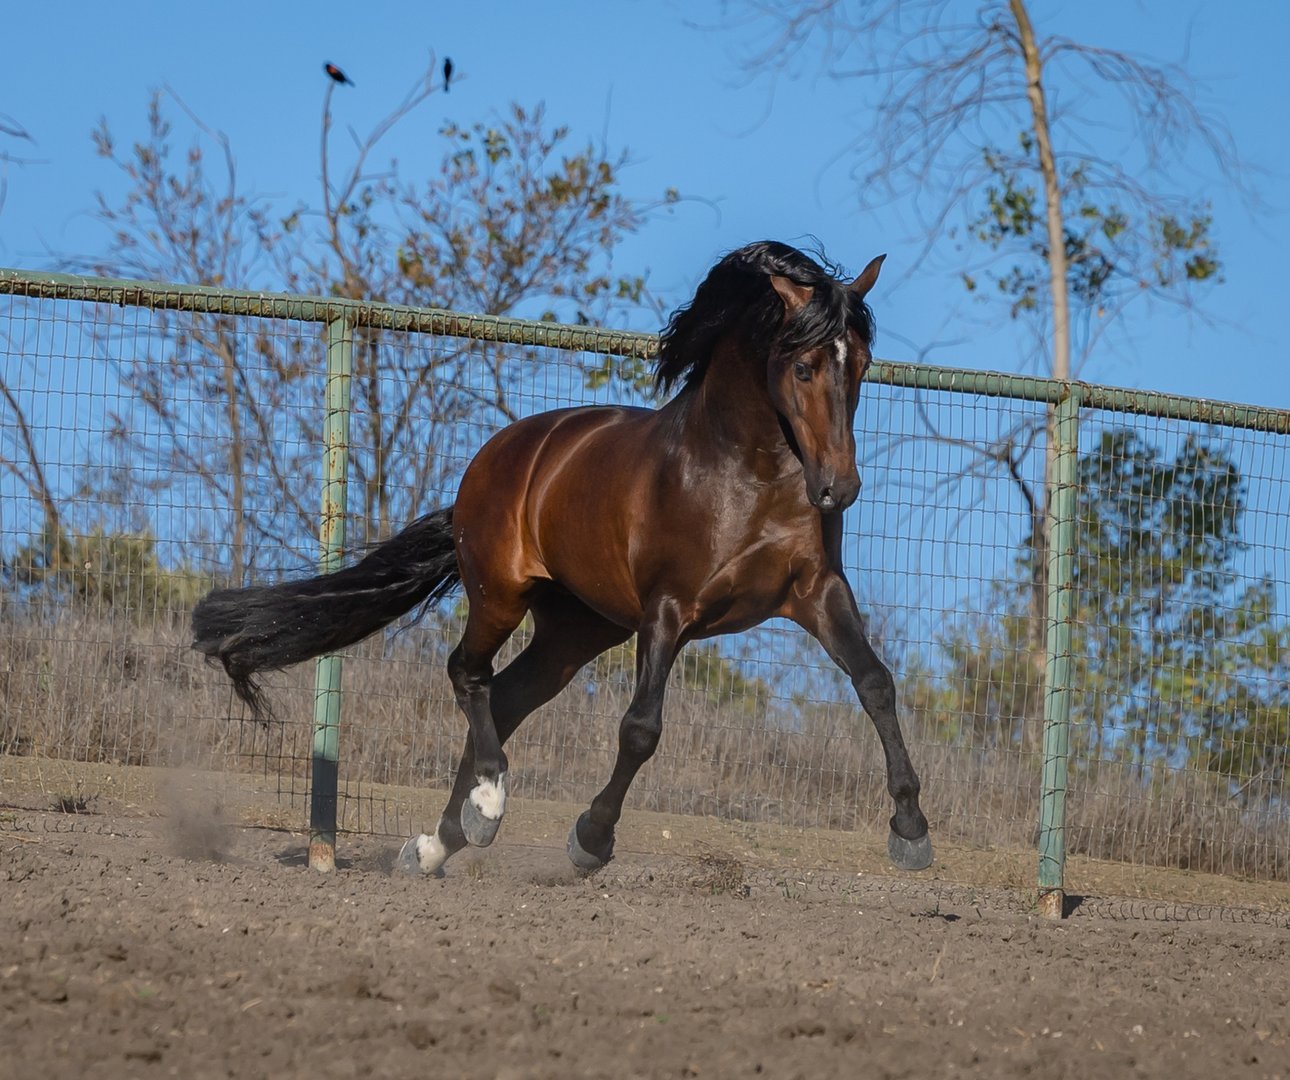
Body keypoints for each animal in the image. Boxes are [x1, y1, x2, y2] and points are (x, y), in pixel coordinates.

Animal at [191, 240, 933, 876]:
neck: (744, 474)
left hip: (577, 629)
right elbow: (640, 729)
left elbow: (876, 684)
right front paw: (591, 839)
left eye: (862, 365)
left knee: (507, 698)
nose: (839, 488)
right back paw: (487, 808)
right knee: (469, 675)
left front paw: (911, 831)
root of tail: (493, 462)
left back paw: (439, 842)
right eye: (804, 366)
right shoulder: (669, 610)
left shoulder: (816, 592)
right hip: (500, 594)